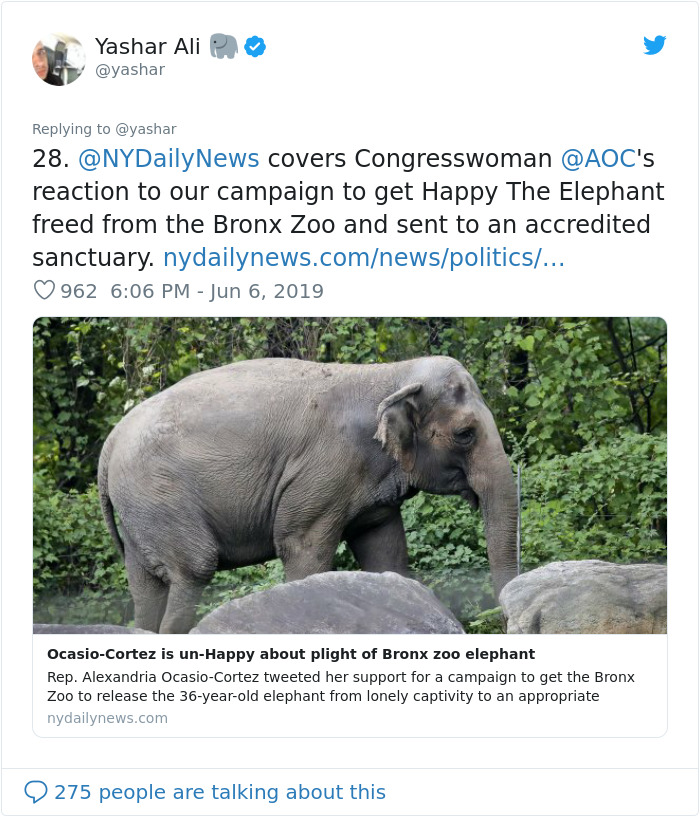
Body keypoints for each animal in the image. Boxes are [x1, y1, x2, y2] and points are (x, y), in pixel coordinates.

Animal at [98, 357, 518, 633]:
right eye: (465, 434)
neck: (388, 373)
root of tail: (111, 441)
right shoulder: (322, 472)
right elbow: (303, 548)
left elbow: (386, 551)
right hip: (159, 494)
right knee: (193, 569)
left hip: (140, 510)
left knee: (145, 587)